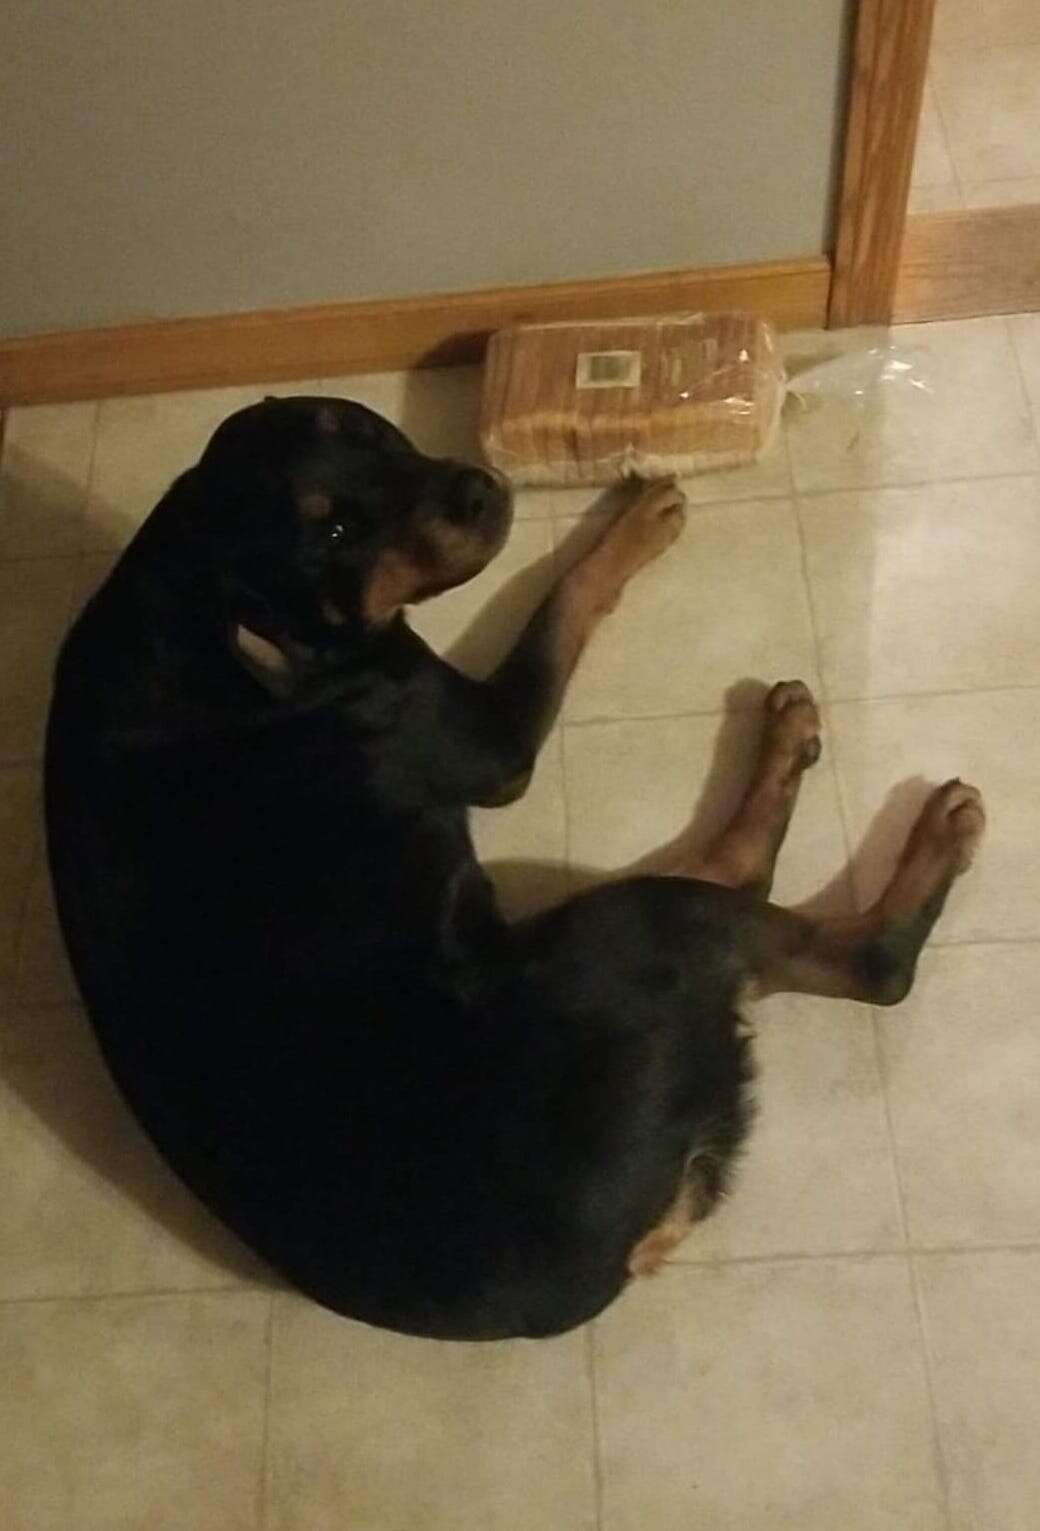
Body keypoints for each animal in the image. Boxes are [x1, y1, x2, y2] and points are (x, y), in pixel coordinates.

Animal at [44, 398, 986, 1341]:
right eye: (337, 530)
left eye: (362, 431)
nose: (475, 489)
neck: (197, 602)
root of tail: (621, 1256)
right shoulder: (495, 736)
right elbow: (563, 602)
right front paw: (629, 531)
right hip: (634, 929)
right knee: (859, 961)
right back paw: (920, 827)